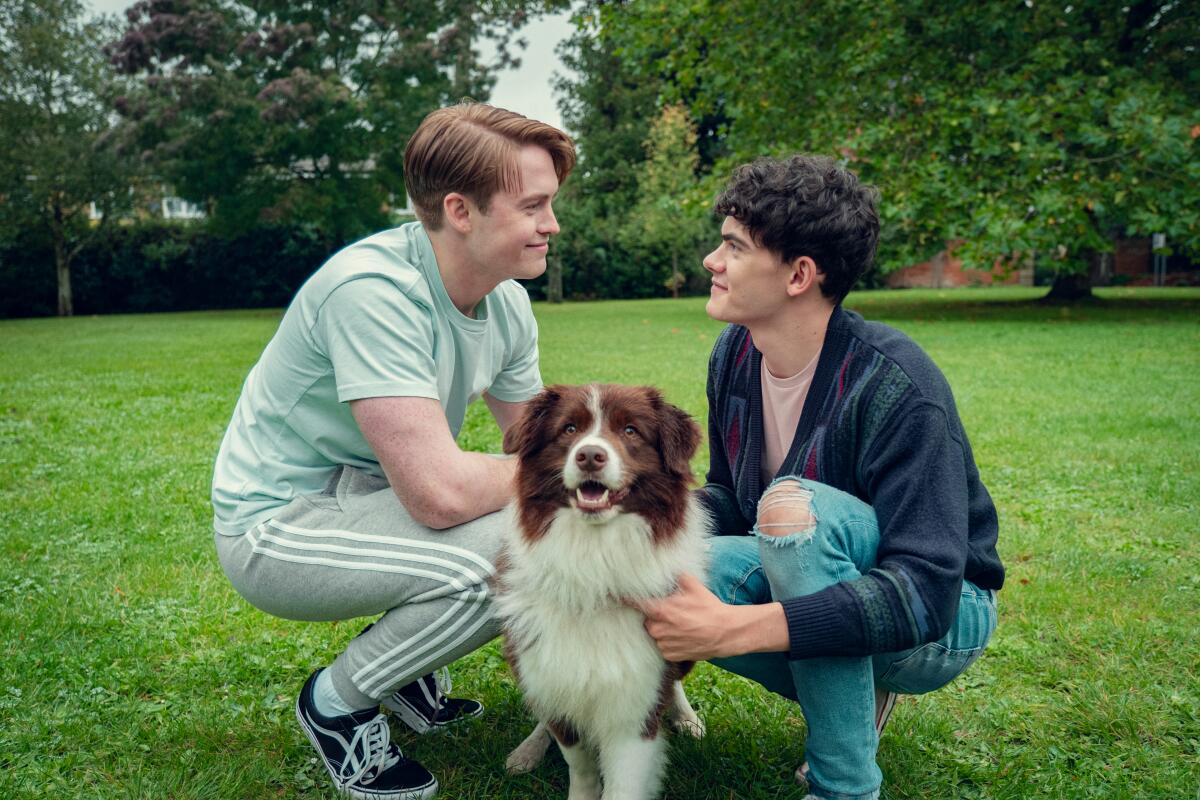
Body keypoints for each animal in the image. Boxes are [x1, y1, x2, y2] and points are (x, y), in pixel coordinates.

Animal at [492, 383, 705, 796]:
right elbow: (580, 765)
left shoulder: (635, 707)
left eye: (631, 431)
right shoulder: (556, 678)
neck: (593, 563)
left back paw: (686, 717)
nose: (590, 455)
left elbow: (623, 784)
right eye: (569, 429)